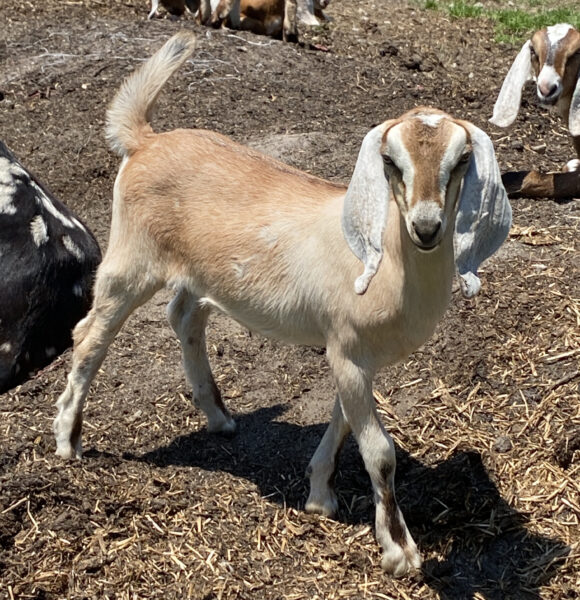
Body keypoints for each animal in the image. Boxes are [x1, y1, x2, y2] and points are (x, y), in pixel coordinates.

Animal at [53, 32, 511, 576]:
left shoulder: (352, 353)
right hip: (131, 259)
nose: (425, 227)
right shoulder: (348, 349)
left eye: (460, 161)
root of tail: (144, 140)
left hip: (198, 272)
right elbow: (380, 452)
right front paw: (399, 551)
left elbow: (342, 423)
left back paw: (219, 417)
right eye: (390, 162)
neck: (388, 270)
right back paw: (68, 438)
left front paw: (319, 495)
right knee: (89, 335)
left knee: (183, 316)